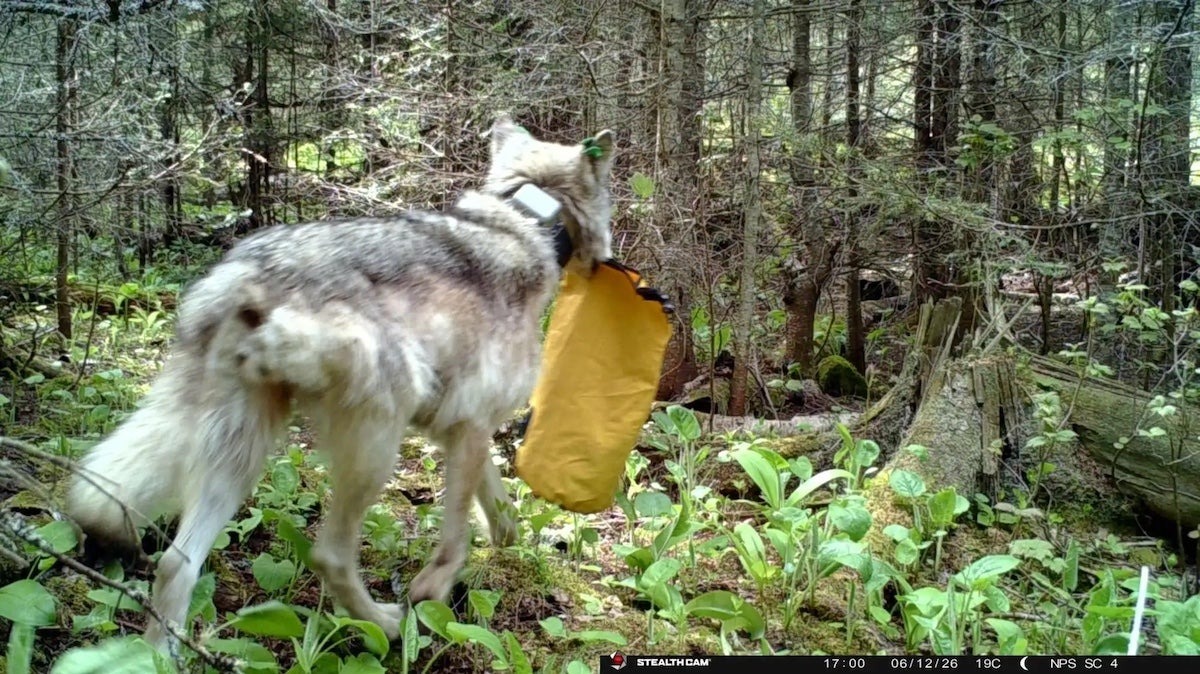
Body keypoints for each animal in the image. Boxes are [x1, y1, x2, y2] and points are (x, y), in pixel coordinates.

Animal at [62, 115, 617, 650]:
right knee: (328, 555)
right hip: (373, 446)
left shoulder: (461, 432)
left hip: (241, 455)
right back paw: (386, 626)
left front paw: (510, 544)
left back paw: (160, 654)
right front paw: (432, 591)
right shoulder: (471, 428)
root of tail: (242, 274)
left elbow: (499, 512)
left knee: (176, 562)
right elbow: (456, 537)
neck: (527, 219)